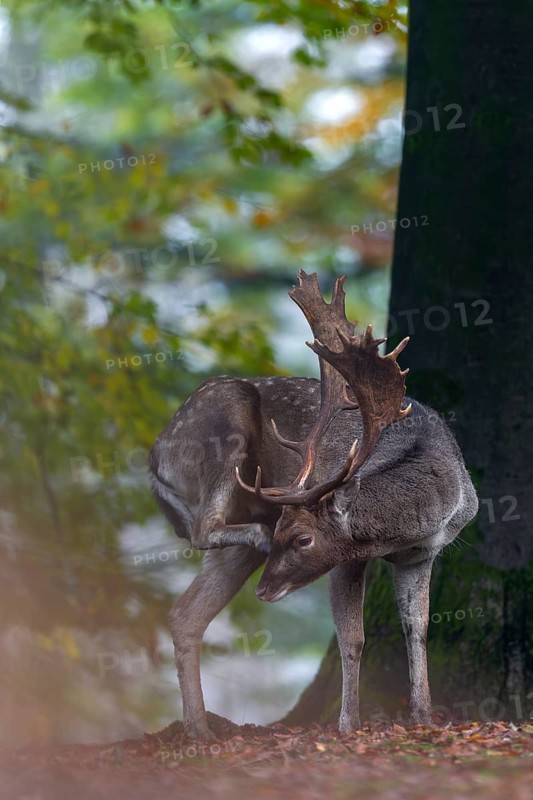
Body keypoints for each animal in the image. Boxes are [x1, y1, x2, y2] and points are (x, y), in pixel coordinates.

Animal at [149, 270, 478, 741]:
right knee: (201, 531)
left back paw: (199, 730)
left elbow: (417, 629)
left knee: (185, 615)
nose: (265, 591)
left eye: (303, 539)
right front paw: (348, 724)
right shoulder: (348, 557)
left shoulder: (422, 555)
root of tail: (155, 456)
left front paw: (422, 717)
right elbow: (353, 638)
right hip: (222, 429)